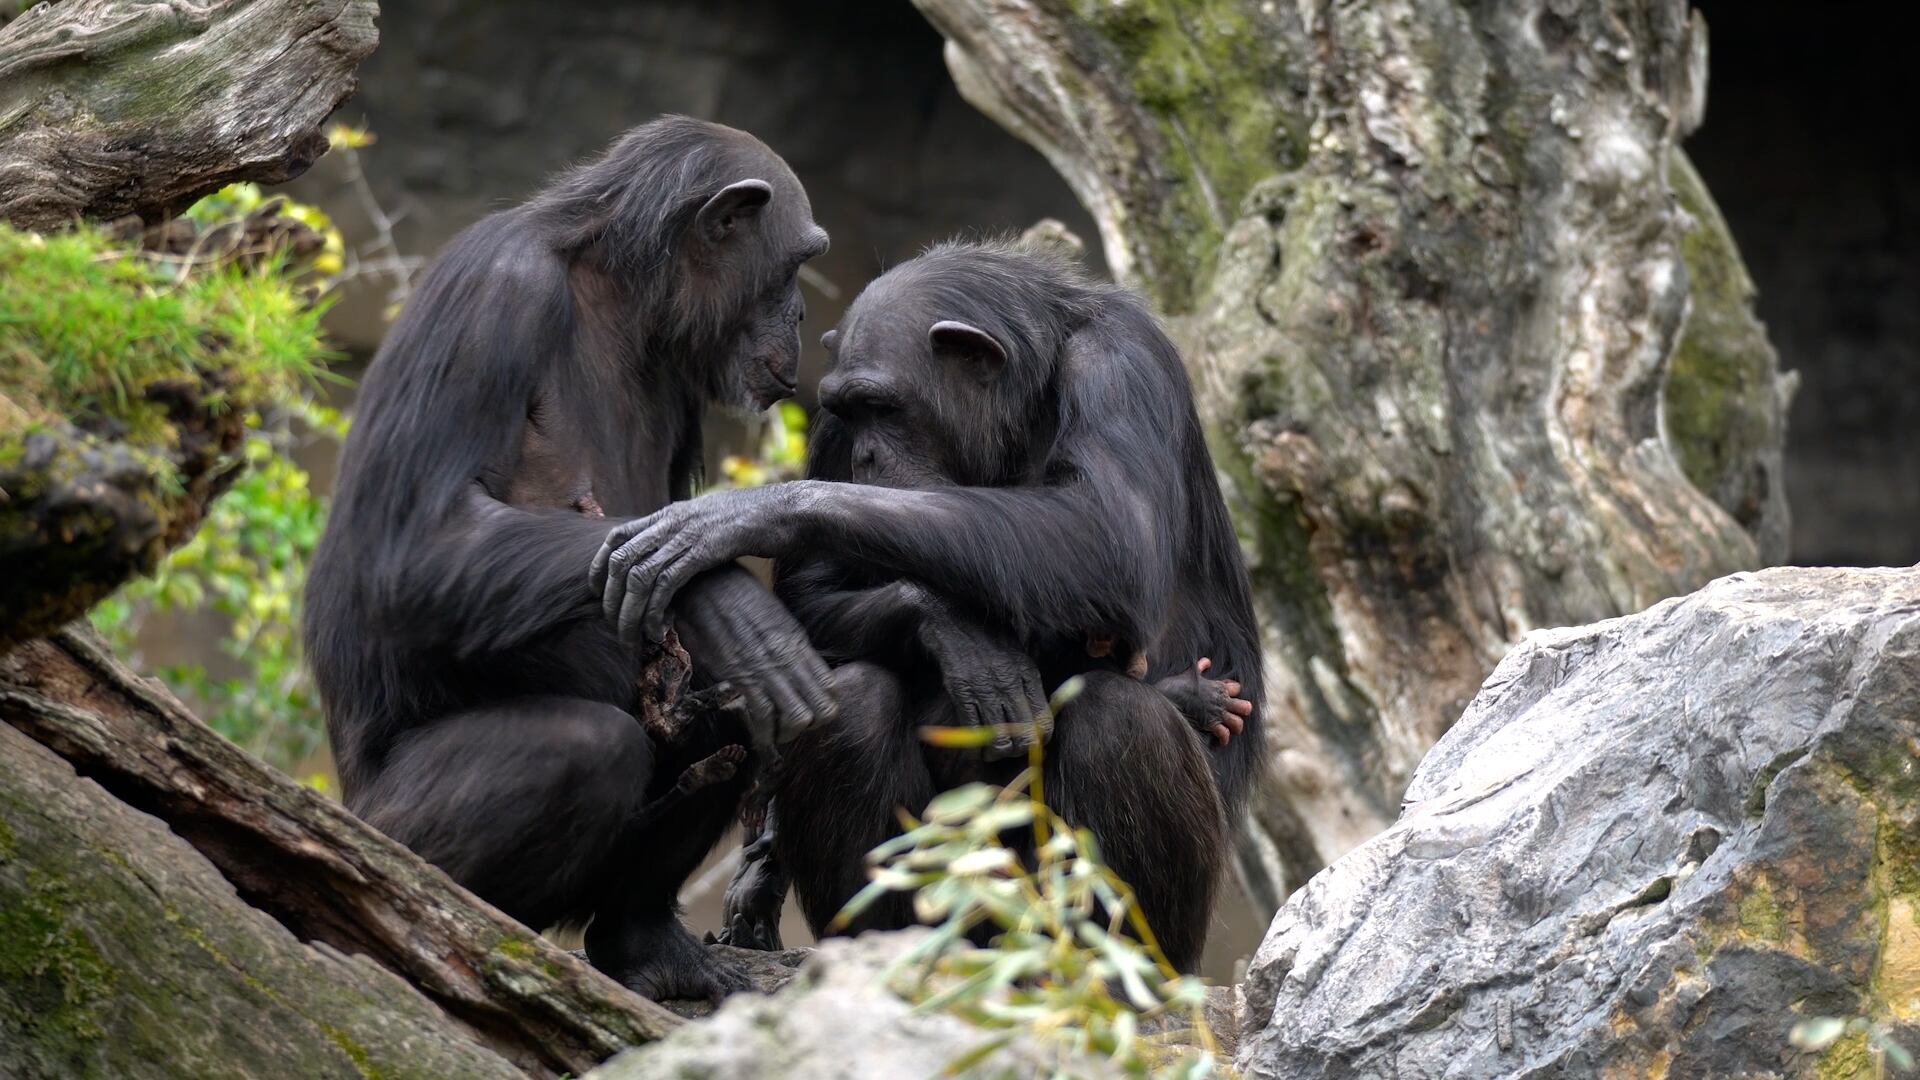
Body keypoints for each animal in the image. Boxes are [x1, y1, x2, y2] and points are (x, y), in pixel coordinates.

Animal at [307, 113, 833, 999]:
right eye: (796, 264)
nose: (800, 316)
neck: (624, 297)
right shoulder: (491, 295)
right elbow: (412, 543)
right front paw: (729, 601)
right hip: (373, 816)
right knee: (582, 748)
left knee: (729, 710)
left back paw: (646, 945)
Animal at [591, 237, 1267, 968]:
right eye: (851, 410)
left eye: (884, 407)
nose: (865, 455)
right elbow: (812, 595)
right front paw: (954, 631)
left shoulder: (1122, 366)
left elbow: (1111, 534)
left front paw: (746, 513)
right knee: (855, 702)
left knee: (1121, 719)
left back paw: (1106, 970)